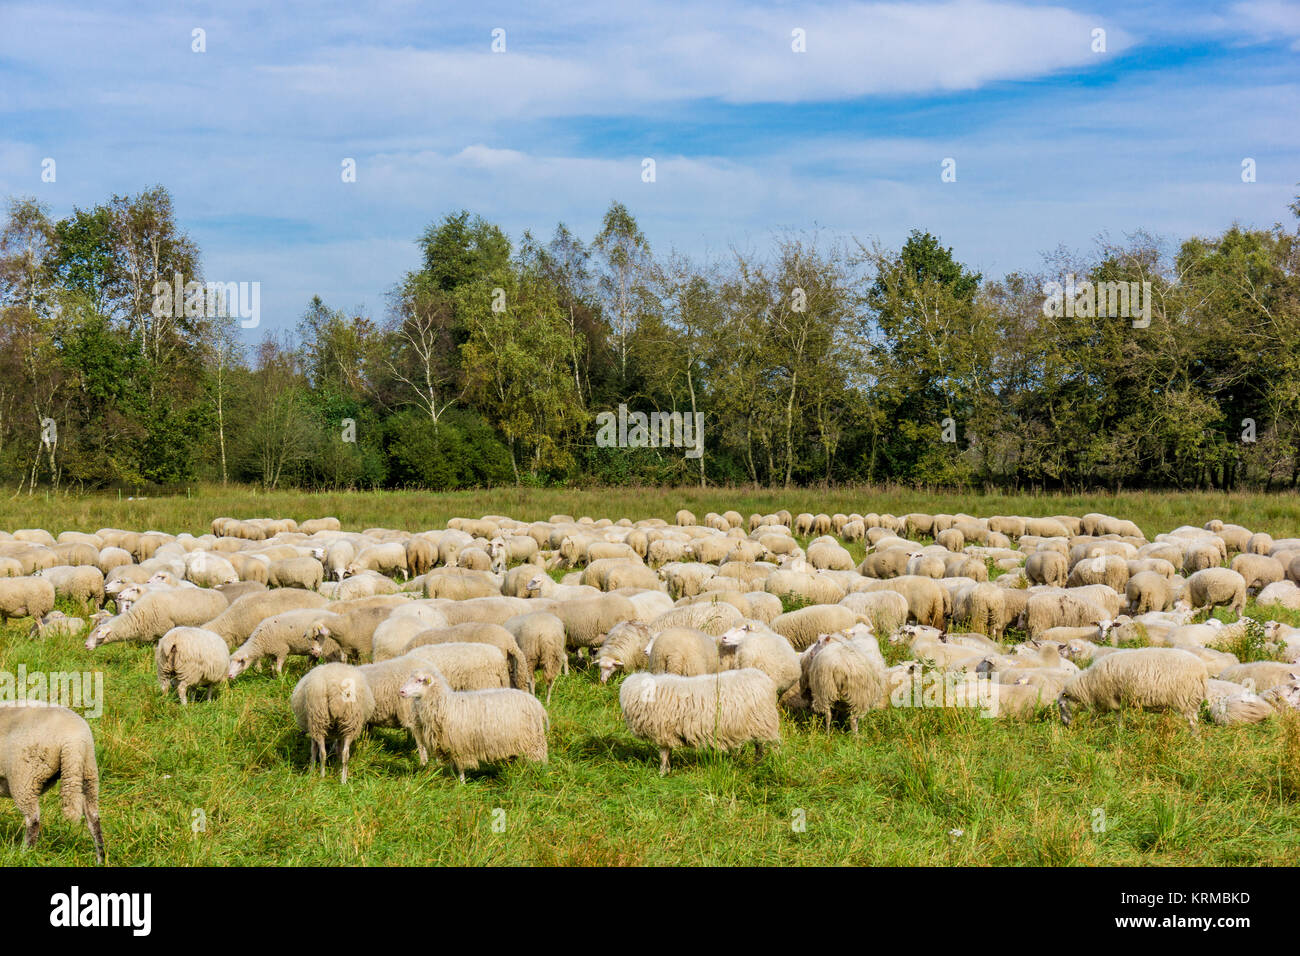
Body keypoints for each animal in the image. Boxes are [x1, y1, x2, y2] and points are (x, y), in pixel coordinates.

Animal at [0, 705, 104, 862]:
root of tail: (74, 739)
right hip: (88, 771)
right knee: (93, 819)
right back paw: (101, 859)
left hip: (25, 777)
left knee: (33, 820)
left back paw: (24, 855)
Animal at [398, 669, 548, 782]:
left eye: (419, 680)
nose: (401, 691)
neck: (443, 703)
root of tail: (536, 703)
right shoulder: (449, 744)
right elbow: (453, 765)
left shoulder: (459, 744)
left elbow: (460, 767)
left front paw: (462, 783)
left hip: (534, 741)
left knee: (540, 759)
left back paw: (539, 775)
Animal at [619, 669, 780, 775]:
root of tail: (766, 679)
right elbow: (667, 753)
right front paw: (667, 770)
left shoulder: (663, 731)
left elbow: (664, 754)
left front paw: (663, 772)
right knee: (759, 746)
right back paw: (757, 763)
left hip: (764, 722)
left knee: (772, 746)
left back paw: (773, 763)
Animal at [1058, 648, 1208, 729]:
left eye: (1061, 705)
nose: (1065, 724)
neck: (1088, 684)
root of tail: (1202, 671)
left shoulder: (1109, 698)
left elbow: (1112, 716)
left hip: (1186, 700)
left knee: (1193, 724)